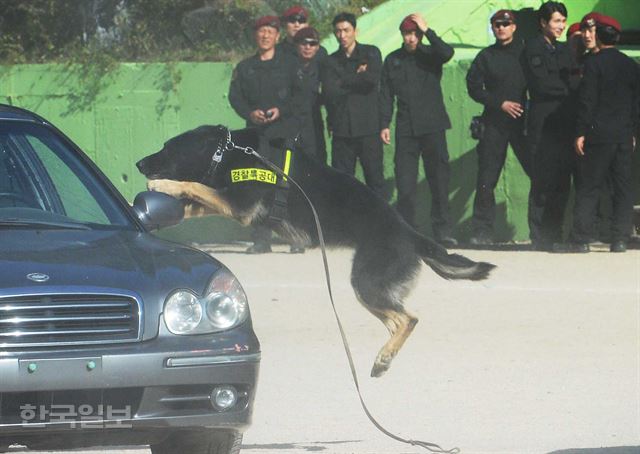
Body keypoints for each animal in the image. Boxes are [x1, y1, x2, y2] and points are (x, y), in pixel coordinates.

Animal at [136, 126, 496, 378]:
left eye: (166, 148)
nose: (139, 162)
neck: (227, 152)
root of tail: (409, 233)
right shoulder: (233, 204)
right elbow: (193, 204)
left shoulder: (240, 205)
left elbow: (194, 187)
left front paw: (163, 186)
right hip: (370, 290)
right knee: (397, 320)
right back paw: (385, 358)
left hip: (366, 282)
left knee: (409, 319)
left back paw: (383, 358)